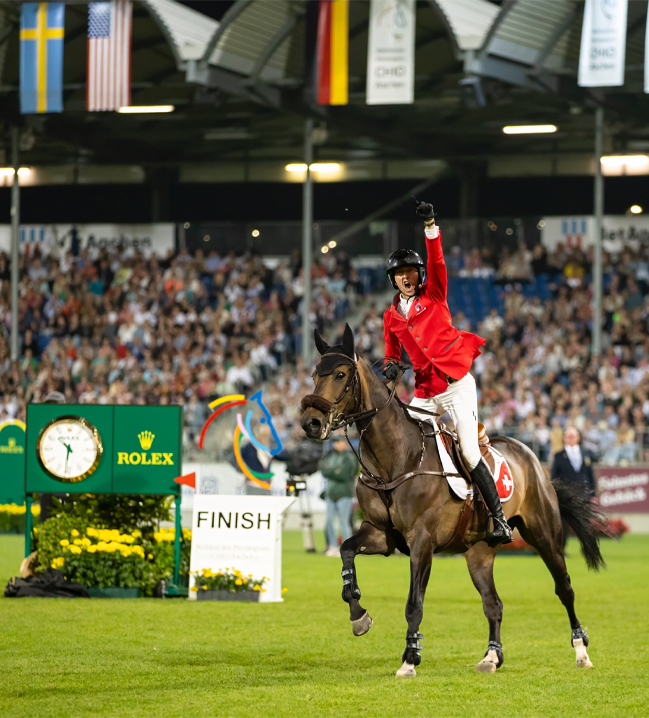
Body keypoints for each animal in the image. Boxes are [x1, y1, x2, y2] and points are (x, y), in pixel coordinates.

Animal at [302, 330, 604, 676]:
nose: (311, 423)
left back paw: (581, 650)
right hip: (479, 552)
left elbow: (414, 603)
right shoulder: (380, 533)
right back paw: (492, 657)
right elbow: (346, 551)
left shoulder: (421, 541)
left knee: (564, 588)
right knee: (493, 603)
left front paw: (410, 658)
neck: (395, 459)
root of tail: (533, 458)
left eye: (340, 374)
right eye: (315, 374)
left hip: (544, 534)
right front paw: (358, 615)